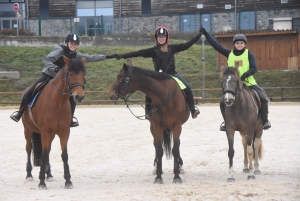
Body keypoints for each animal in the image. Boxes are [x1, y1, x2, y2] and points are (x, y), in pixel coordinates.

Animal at [21, 55, 86, 189]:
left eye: (83, 74)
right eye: (70, 74)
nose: (79, 96)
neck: (58, 101)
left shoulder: (64, 132)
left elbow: (64, 155)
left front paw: (68, 180)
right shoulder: (45, 132)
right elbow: (43, 155)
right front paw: (41, 182)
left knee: (48, 151)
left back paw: (49, 174)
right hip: (28, 130)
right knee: (29, 149)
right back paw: (29, 174)